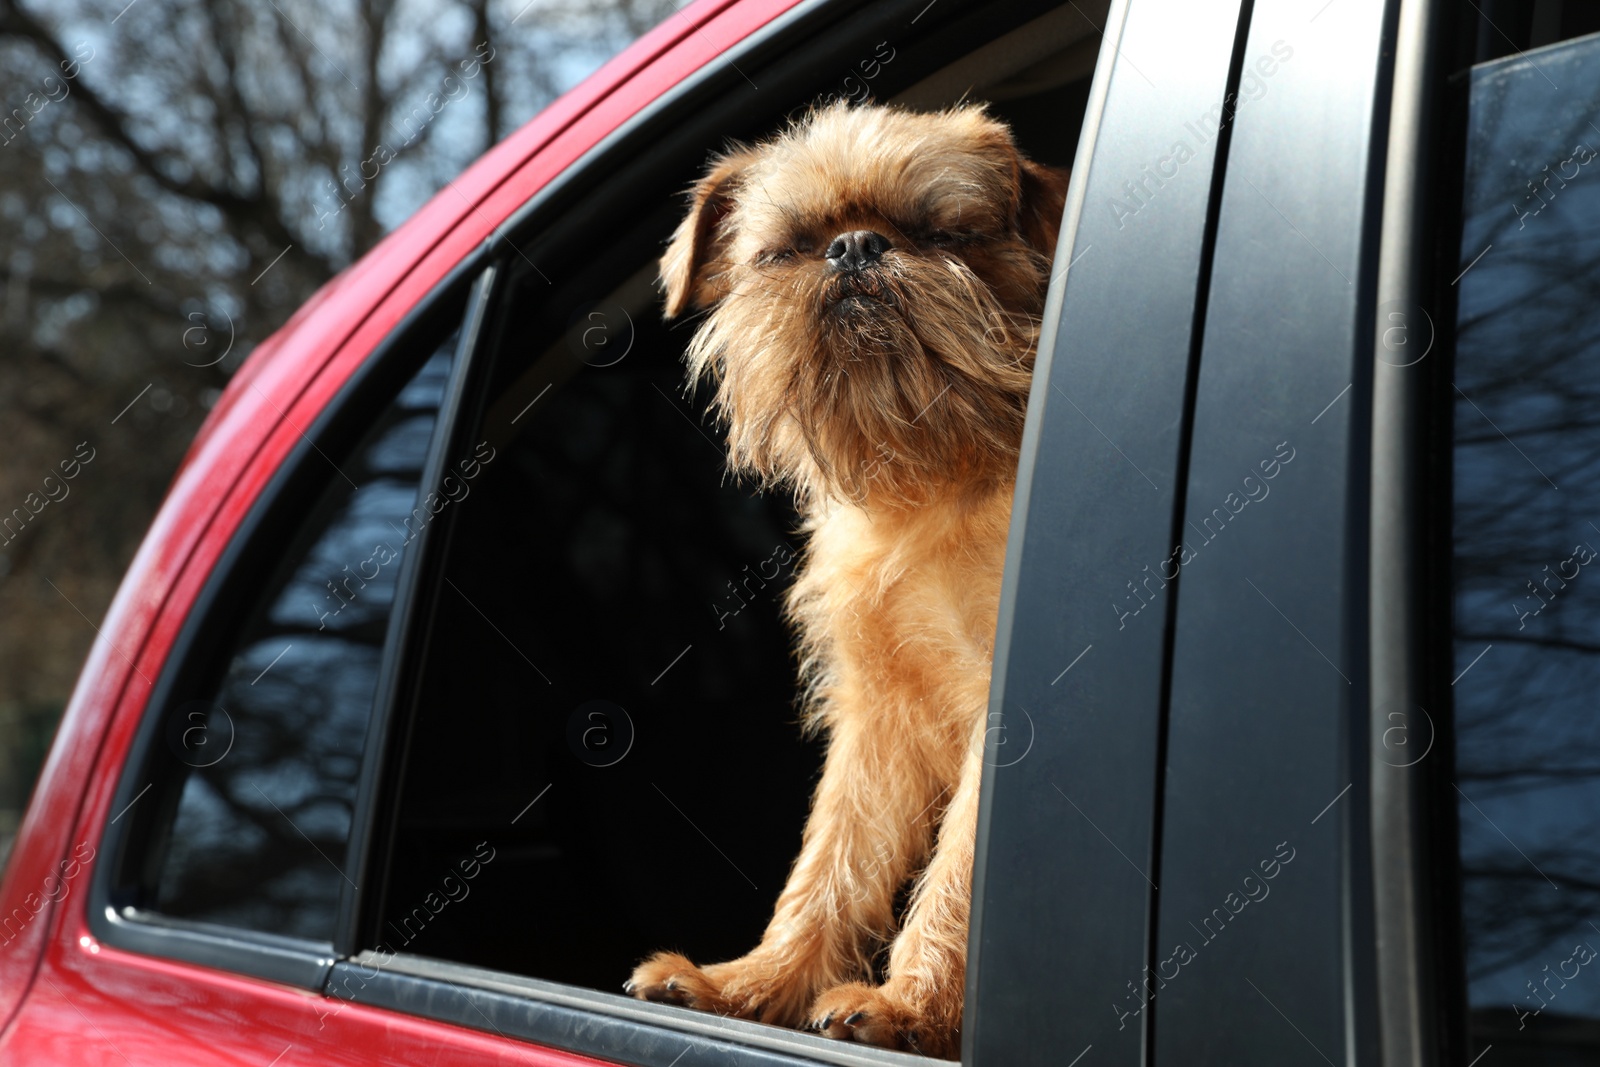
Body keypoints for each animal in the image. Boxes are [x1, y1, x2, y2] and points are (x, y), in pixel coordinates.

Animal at [630, 102, 1068, 1062]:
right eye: (787, 250)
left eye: (945, 234)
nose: (856, 247)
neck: (922, 480)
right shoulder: (879, 720)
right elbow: (830, 861)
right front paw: (751, 985)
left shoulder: (1000, 718)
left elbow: (957, 872)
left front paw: (908, 1008)